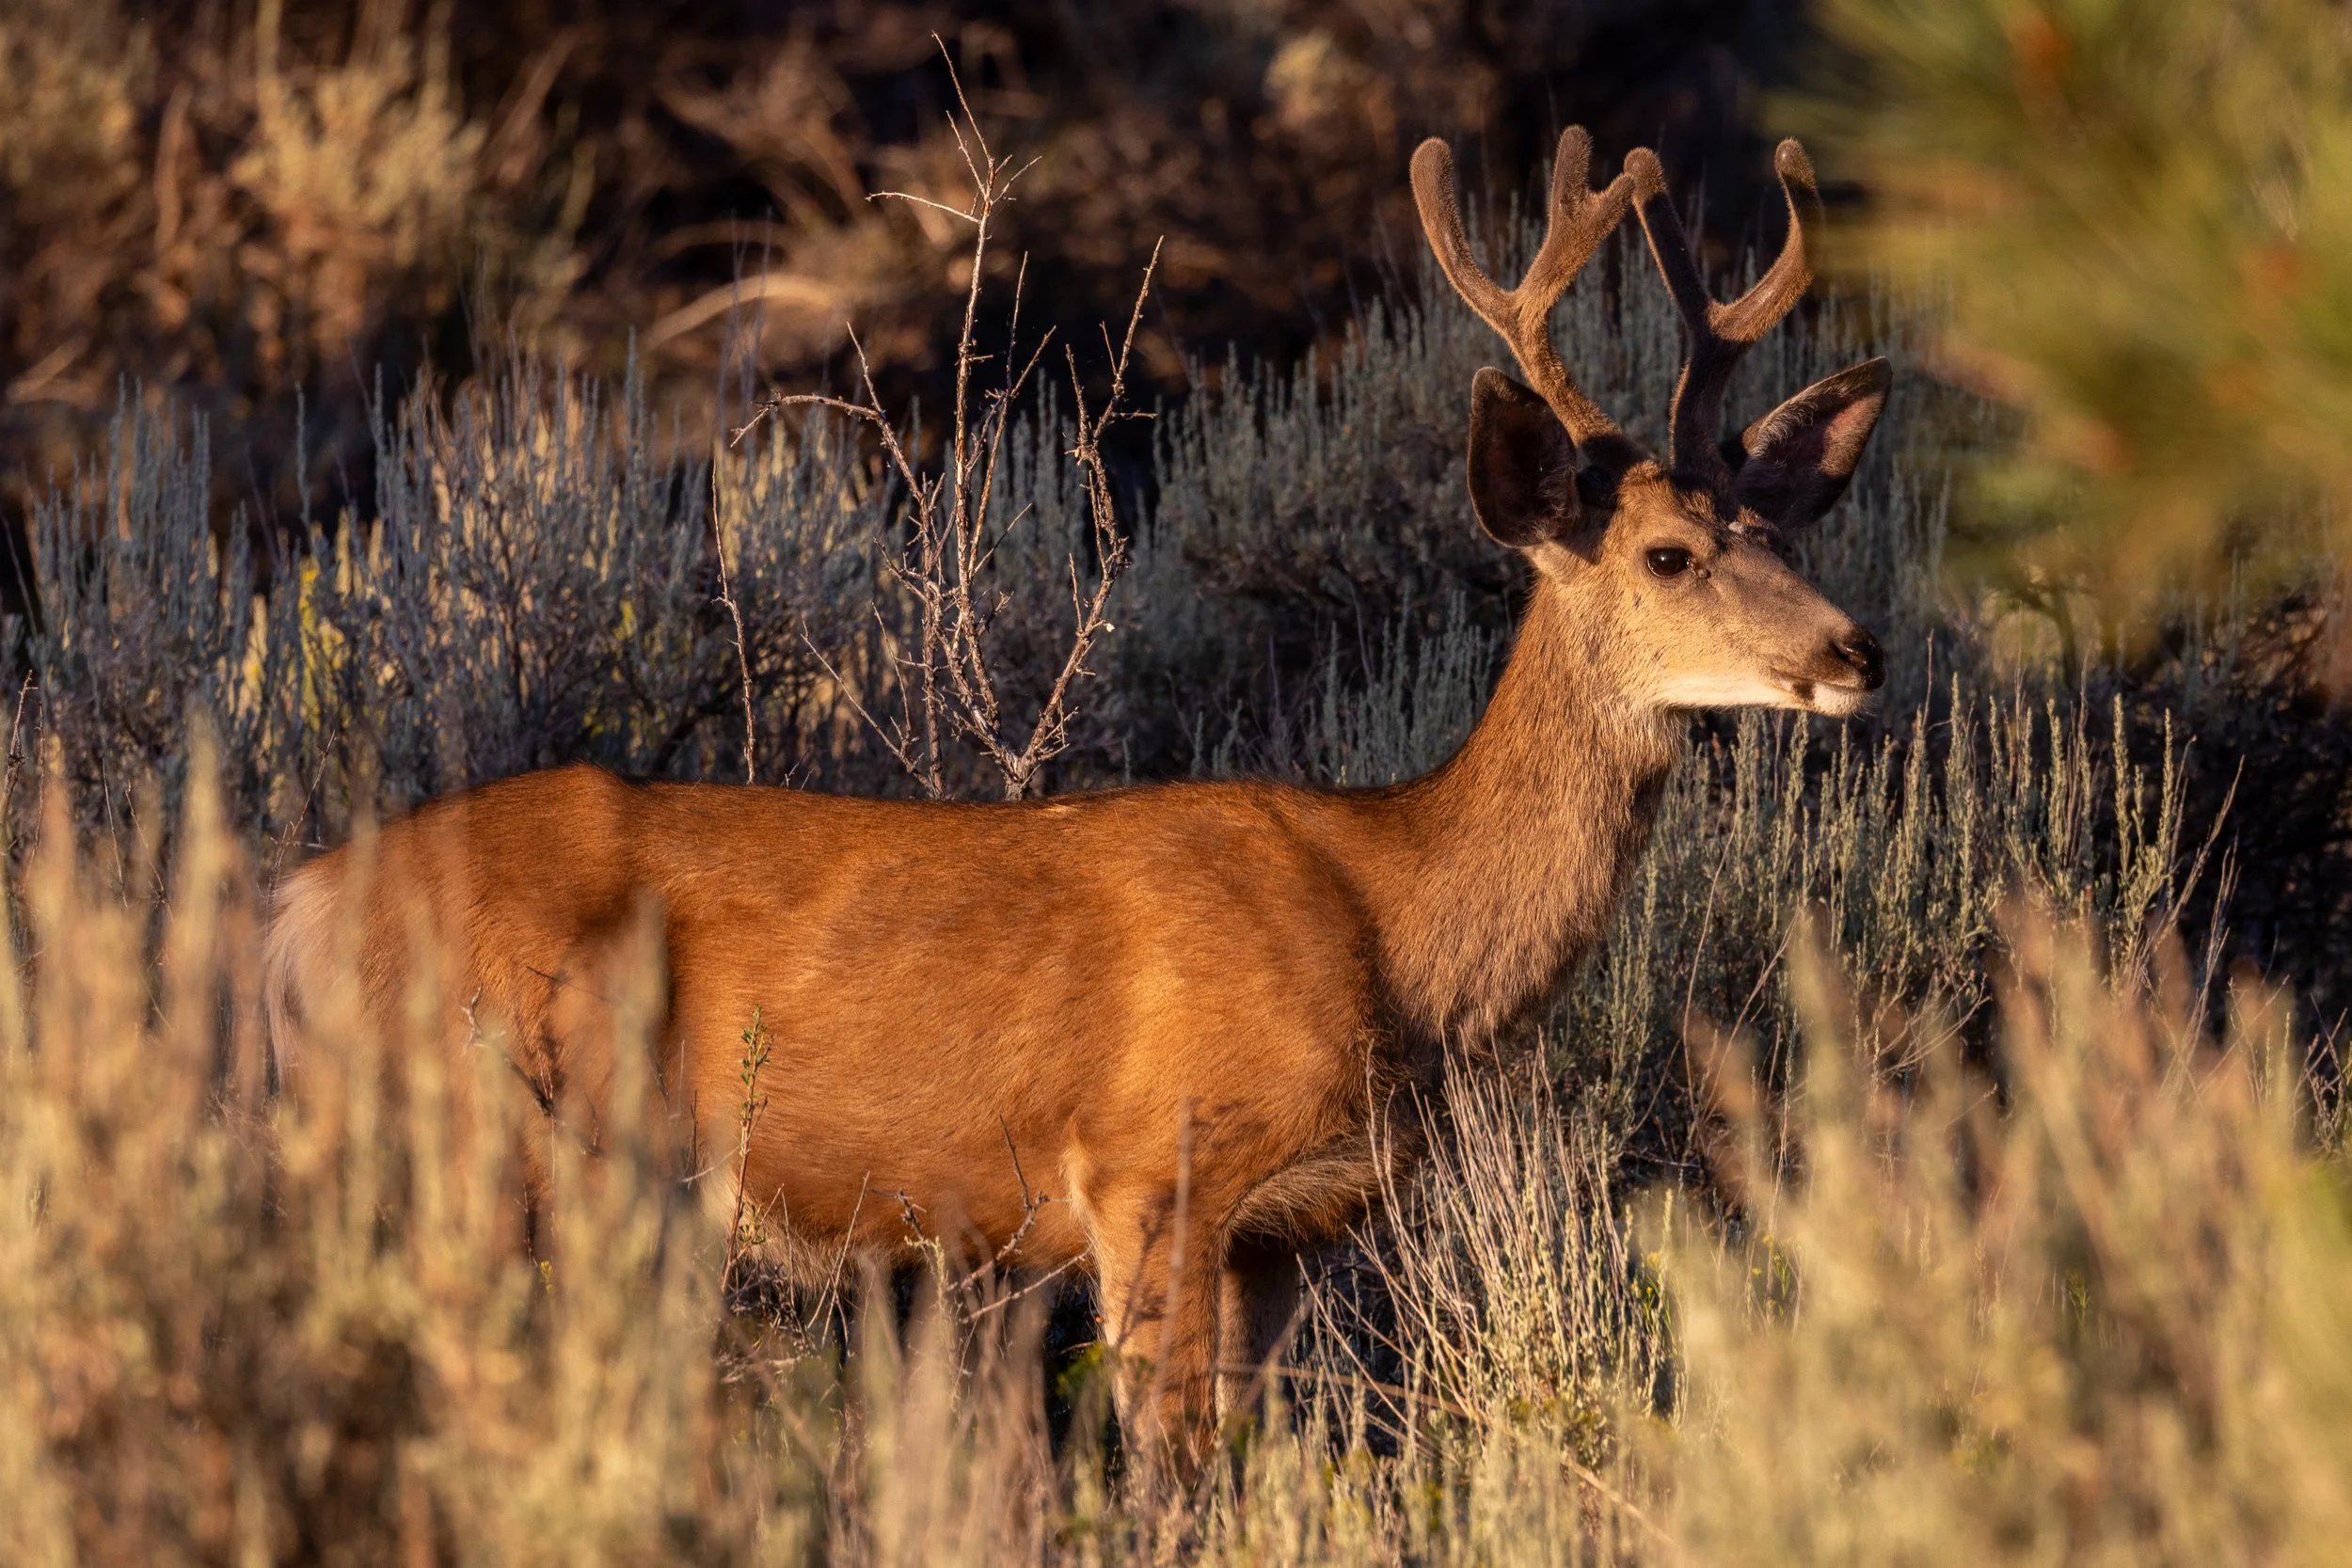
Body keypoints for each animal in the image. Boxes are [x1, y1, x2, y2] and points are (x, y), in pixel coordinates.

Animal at [263, 124, 1893, 1468]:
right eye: (1670, 553)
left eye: (1782, 527)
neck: (1396, 918)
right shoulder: (1150, 1166)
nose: (1853, 649)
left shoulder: (1295, 1227)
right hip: (499, 1135)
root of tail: (307, 896)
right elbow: (1170, 1469)